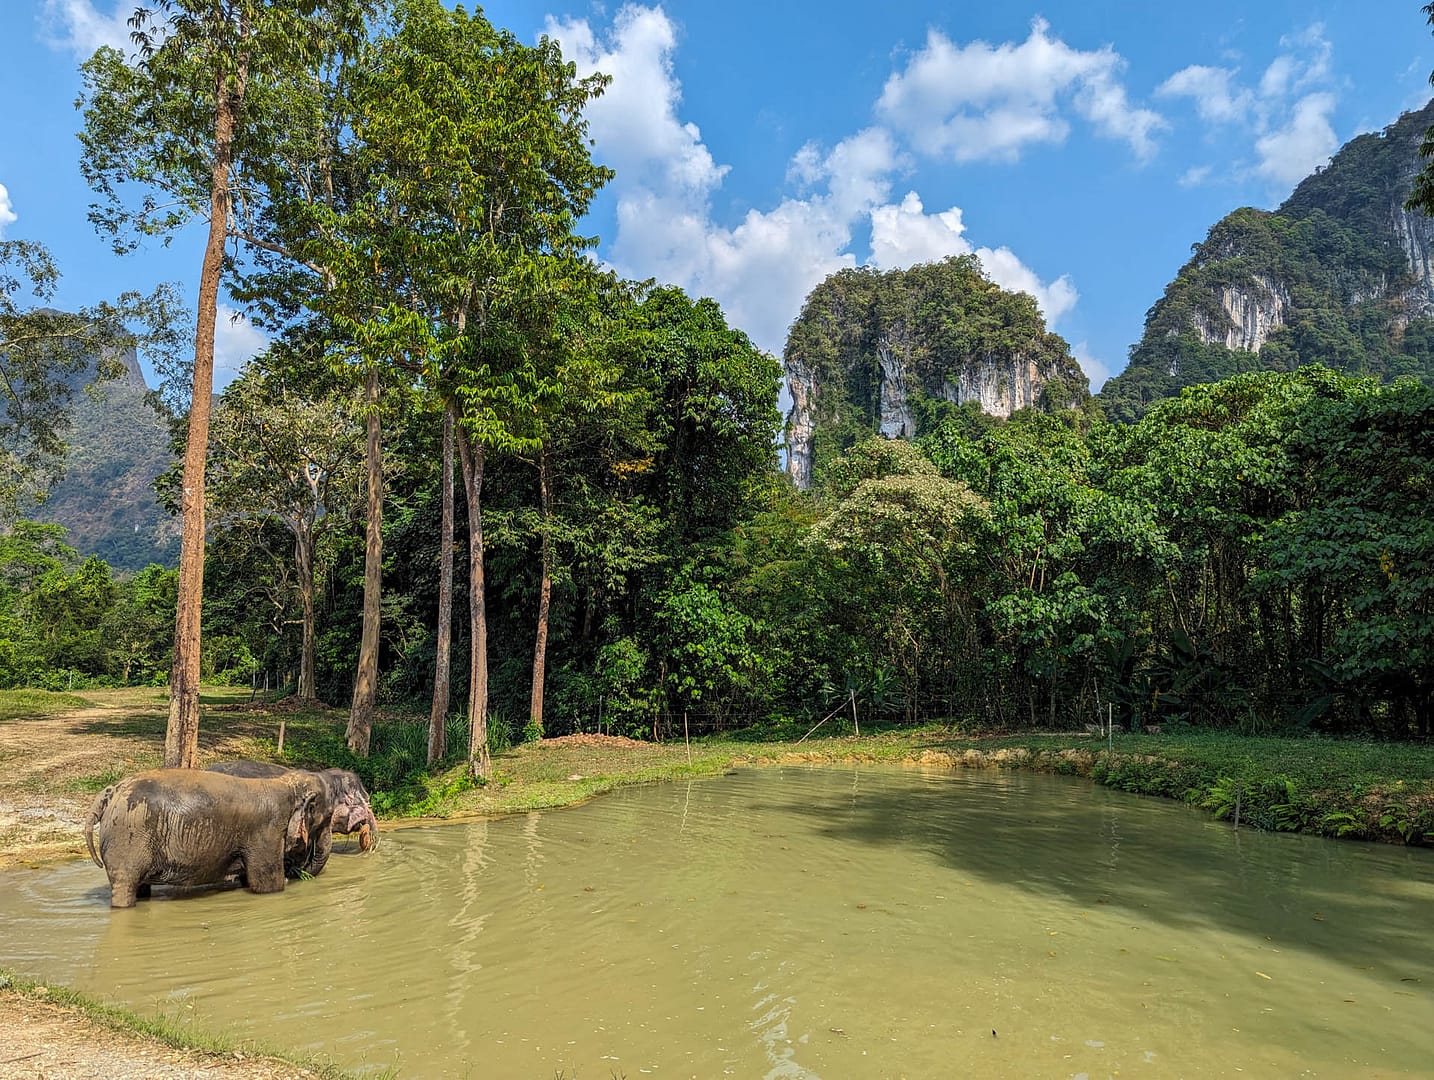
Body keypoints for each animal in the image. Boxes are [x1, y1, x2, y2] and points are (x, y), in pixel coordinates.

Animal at [84, 768, 331, 908]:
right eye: (326, 817)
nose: (296, 871)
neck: (284, 783)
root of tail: (111, 791)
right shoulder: (266, 833)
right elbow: (267, 886)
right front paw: (283, 882)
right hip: (128, 839)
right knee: (124, 885)